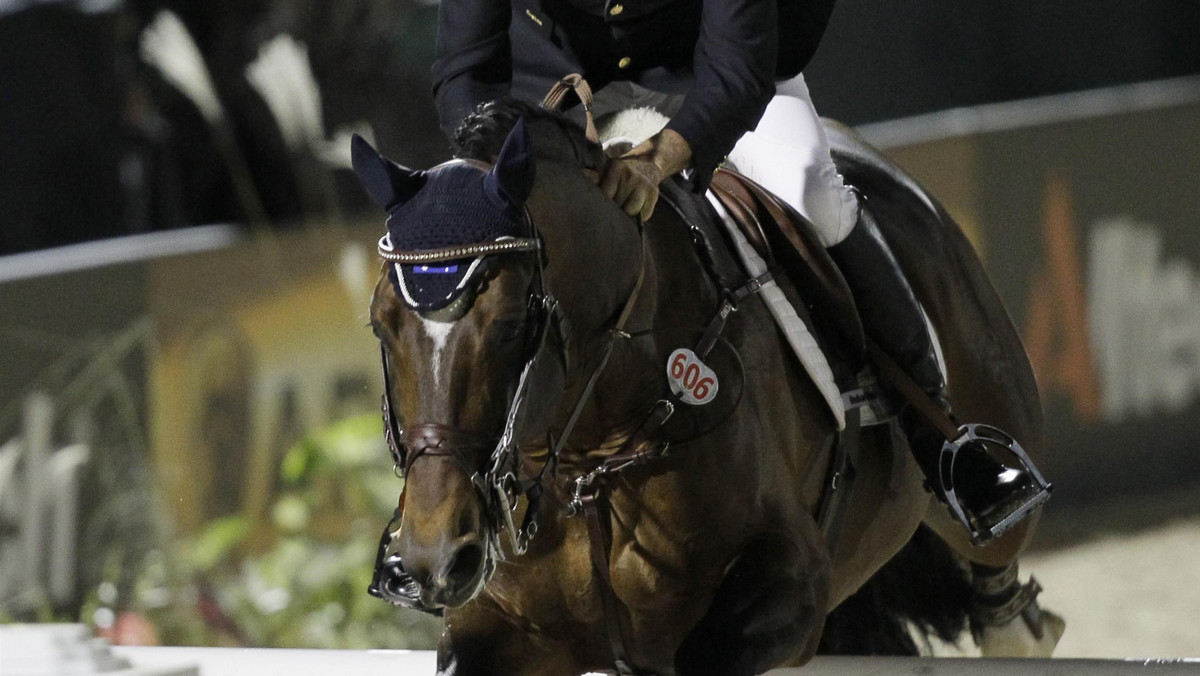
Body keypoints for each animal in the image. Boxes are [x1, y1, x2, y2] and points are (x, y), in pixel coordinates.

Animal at [352, 102, 1060, 676]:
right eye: (381, 325)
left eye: (509, 324)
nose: (435, 560)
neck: (590, 453)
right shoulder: (499, 627)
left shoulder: (790, 581)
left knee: (1002, 568)